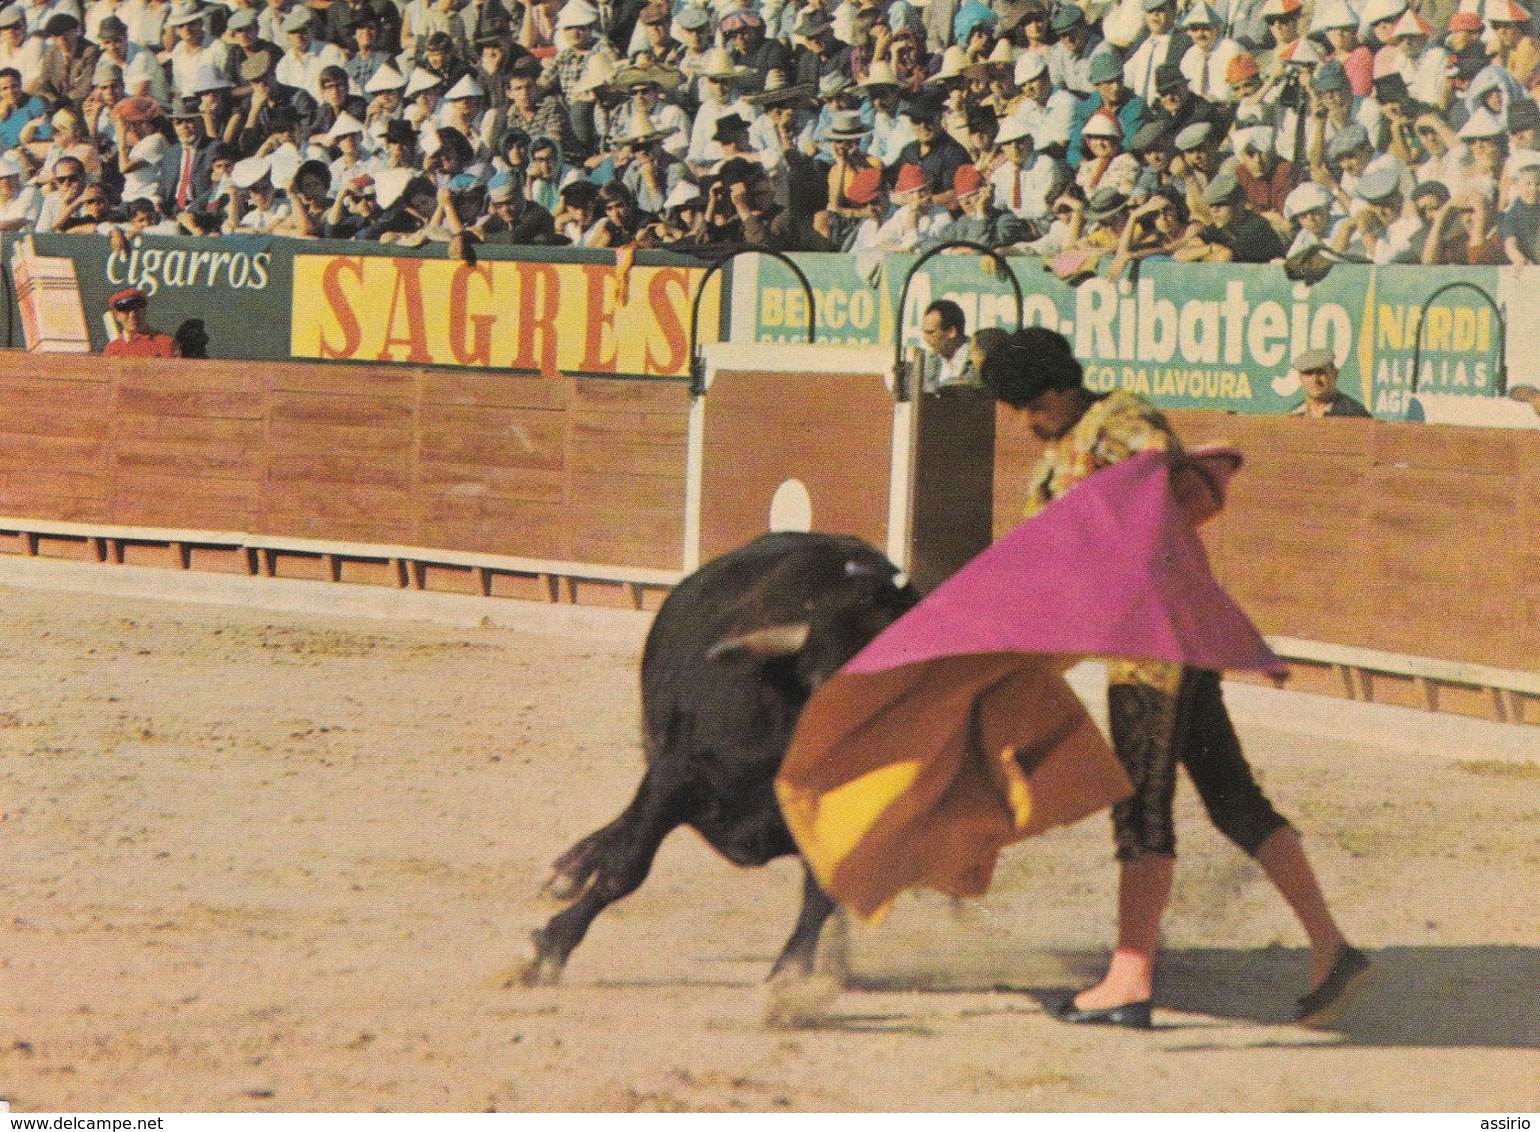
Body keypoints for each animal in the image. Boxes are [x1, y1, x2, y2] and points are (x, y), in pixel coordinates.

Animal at [517, 535, 924, 985]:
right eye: (819, 683)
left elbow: (823, 895)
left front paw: (791, 976)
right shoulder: (675, 776)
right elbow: (625, 867)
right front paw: (548, 950)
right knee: (628, 822)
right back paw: (567, 871)